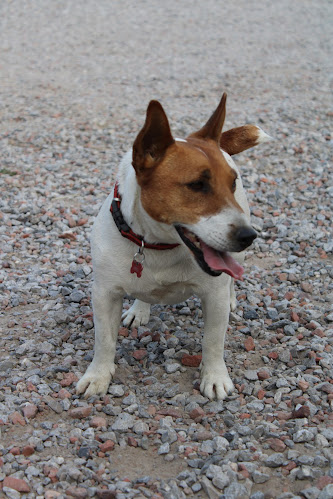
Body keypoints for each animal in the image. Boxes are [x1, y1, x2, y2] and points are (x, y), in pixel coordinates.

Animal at [76, 91, 272, 402]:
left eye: (232, 182)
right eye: (197, 185)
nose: (248, 236)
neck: (158, 246)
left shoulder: (213, 297)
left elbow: (213, 341)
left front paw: (214, 377)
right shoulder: (104, 294)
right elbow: (104, 340)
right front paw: (98, 376)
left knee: (232, 279)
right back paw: (140, 308)